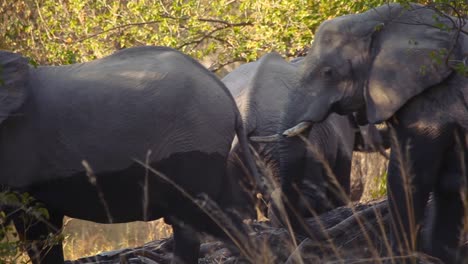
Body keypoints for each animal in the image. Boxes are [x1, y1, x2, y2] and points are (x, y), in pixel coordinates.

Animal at [278, 3, 468, 262]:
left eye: (328, 72)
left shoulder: (434, 96)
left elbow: (410, 175)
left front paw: (403, 256)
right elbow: (450, 182)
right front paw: (439, 256)